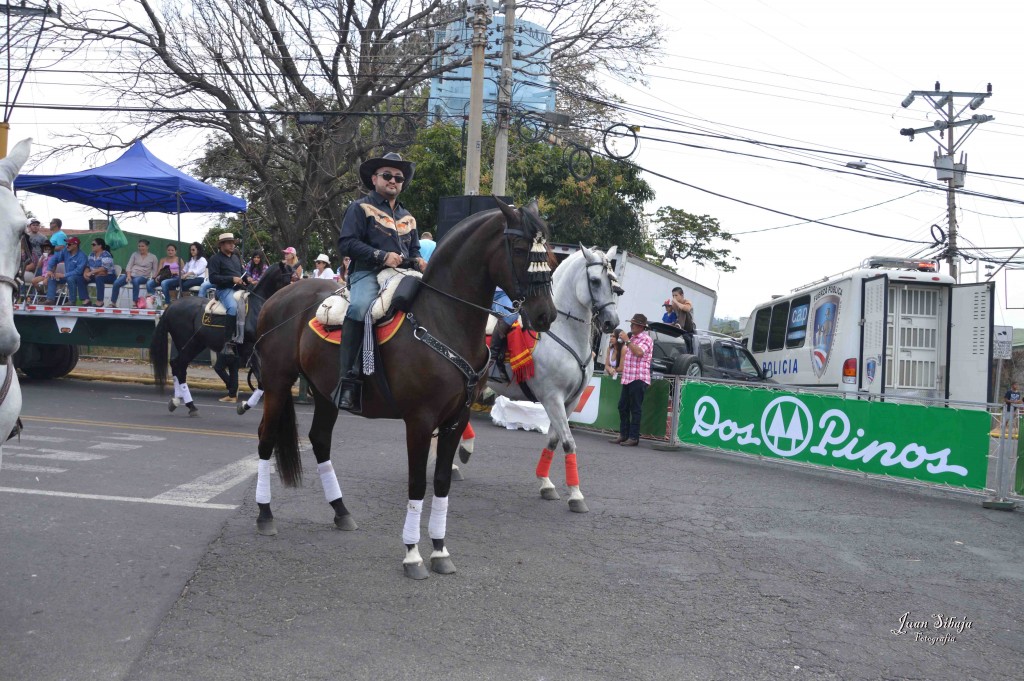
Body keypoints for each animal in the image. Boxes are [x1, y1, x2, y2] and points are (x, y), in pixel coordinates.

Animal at [251, 197, 557, 577]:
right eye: (519, 248)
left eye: (549, 252)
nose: (546, 314)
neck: (442, 320)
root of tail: (278, 297)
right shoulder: (420, 421)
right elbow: (417, 483)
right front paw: (412, 553)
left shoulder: (457, 418)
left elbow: (441, 481)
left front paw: (439, 549)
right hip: (277, 384)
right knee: (265, 440)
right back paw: (265, 514)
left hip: (325, 394)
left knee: (319, 440)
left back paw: (341, 511)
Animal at [483, 244, 618, 509]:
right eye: (595, 281)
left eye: (613, 281)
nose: (612, 321)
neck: (563, 332)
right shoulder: (551, 398)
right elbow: (568, 441)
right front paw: (576, 495)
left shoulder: (570, 401)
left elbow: (554, 441)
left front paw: (546, 485)